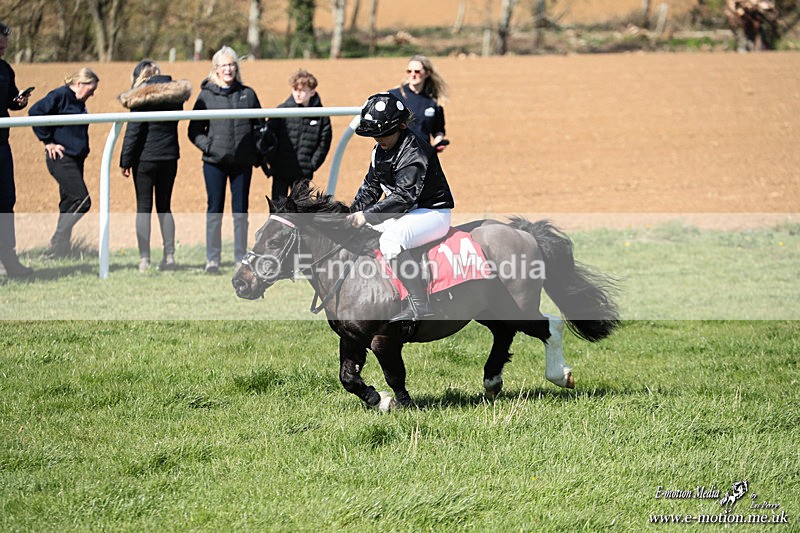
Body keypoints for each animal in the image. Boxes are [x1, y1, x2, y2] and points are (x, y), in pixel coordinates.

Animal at [232, 182, 620, 410]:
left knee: (549, 325)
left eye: (275, 241)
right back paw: (491, 381)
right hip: (490, 309)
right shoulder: (351, 337)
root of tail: (523, 232)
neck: (351, 270)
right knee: (504, 334)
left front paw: (398, 403)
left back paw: (559, 375)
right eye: (258, 235)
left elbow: (395, 375)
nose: (240, 282)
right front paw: (378, 400)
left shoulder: (384, 338)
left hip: (517, 306)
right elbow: (348, 378)